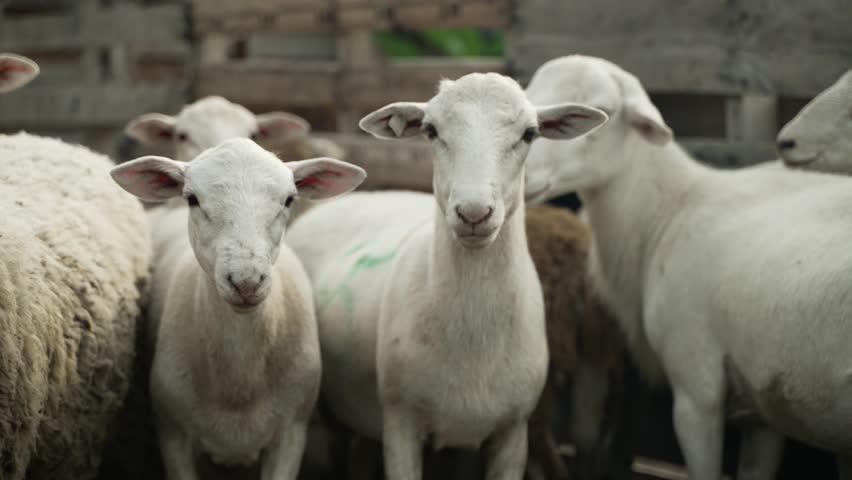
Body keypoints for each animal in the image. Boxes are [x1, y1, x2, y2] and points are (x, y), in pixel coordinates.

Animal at [110, 137, 366, 478]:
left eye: (289, 200)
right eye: (192, 199)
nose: (246, 281)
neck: (238, 381)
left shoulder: (291, 435)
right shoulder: (173, 436)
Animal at [286, 73, 604, 478]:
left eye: (530, 133)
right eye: (431, 130)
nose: (473, 212)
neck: (474, 338)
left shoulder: (514, 432)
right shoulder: (400, 424)